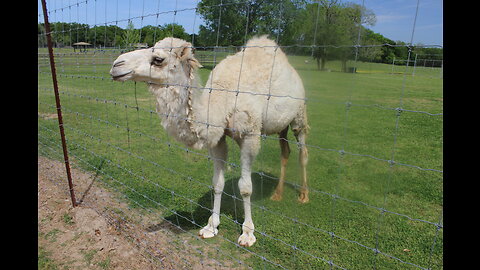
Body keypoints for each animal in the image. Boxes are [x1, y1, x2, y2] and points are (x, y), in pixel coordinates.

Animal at [109, 35, 308, 247]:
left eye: (158, 59)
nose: (116, 65)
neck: (222, 103)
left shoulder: (250, 134)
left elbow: (246, 187)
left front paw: (247, 233)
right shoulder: (218, 139)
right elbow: (217, 183)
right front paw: (211, 227)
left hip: (300, 114)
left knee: (302, 150)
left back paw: (304, 196)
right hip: (282, 125)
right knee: (285, 151)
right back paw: (277, 194)